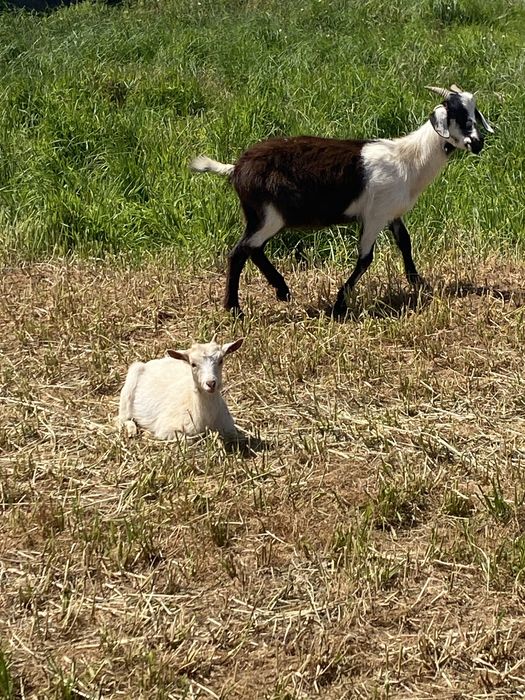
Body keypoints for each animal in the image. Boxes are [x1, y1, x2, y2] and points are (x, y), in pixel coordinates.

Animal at [190, 85, 493, 316]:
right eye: (456, 114)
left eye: (474, 113)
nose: (477, 143)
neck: (407, 160)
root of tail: (236, 169)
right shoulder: (374, 216)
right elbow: (366, 258)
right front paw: (339, 304)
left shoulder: (392, 213)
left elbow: (405, 244)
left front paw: (419, 284)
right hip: (269, 215)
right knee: (239, 252)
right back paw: (235, 309)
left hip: (262, 217)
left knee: (254, 250)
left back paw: (281, 291)